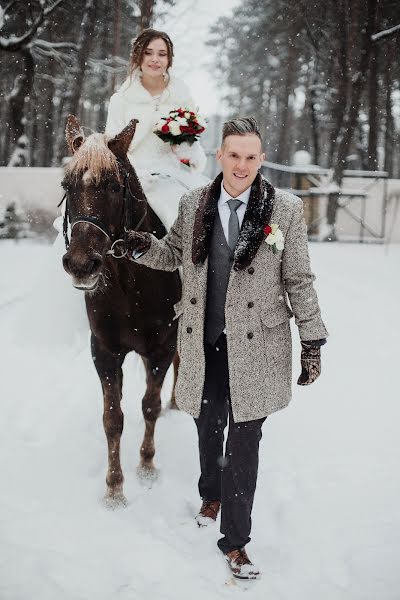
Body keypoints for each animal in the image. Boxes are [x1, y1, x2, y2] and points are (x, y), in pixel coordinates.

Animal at [61, 113, 181, 506]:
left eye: (114, 187)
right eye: (67, 185)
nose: (81, 264)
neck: (131, 281)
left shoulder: (161, 346)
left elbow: (150, 405)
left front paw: (146, 466)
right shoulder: (105, 350)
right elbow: (113, 419)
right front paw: (114, 488)